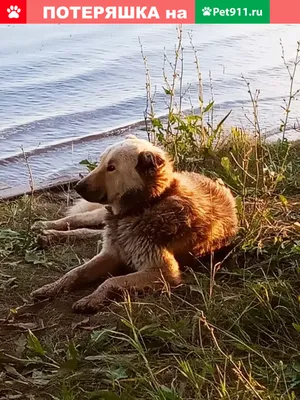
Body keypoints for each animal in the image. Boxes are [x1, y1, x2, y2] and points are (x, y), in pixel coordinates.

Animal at [29, 136, 237, 314]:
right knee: (78, 220)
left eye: (111, 167)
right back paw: (45, 226)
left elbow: (112, 280)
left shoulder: (162, 271)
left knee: (88, 232)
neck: (147, 204)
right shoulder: (111, 253)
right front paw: (52, 287)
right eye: (101, 162)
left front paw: (92, 298)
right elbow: (76, 272)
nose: (77, 187)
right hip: (101, 218)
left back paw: (49, 235)